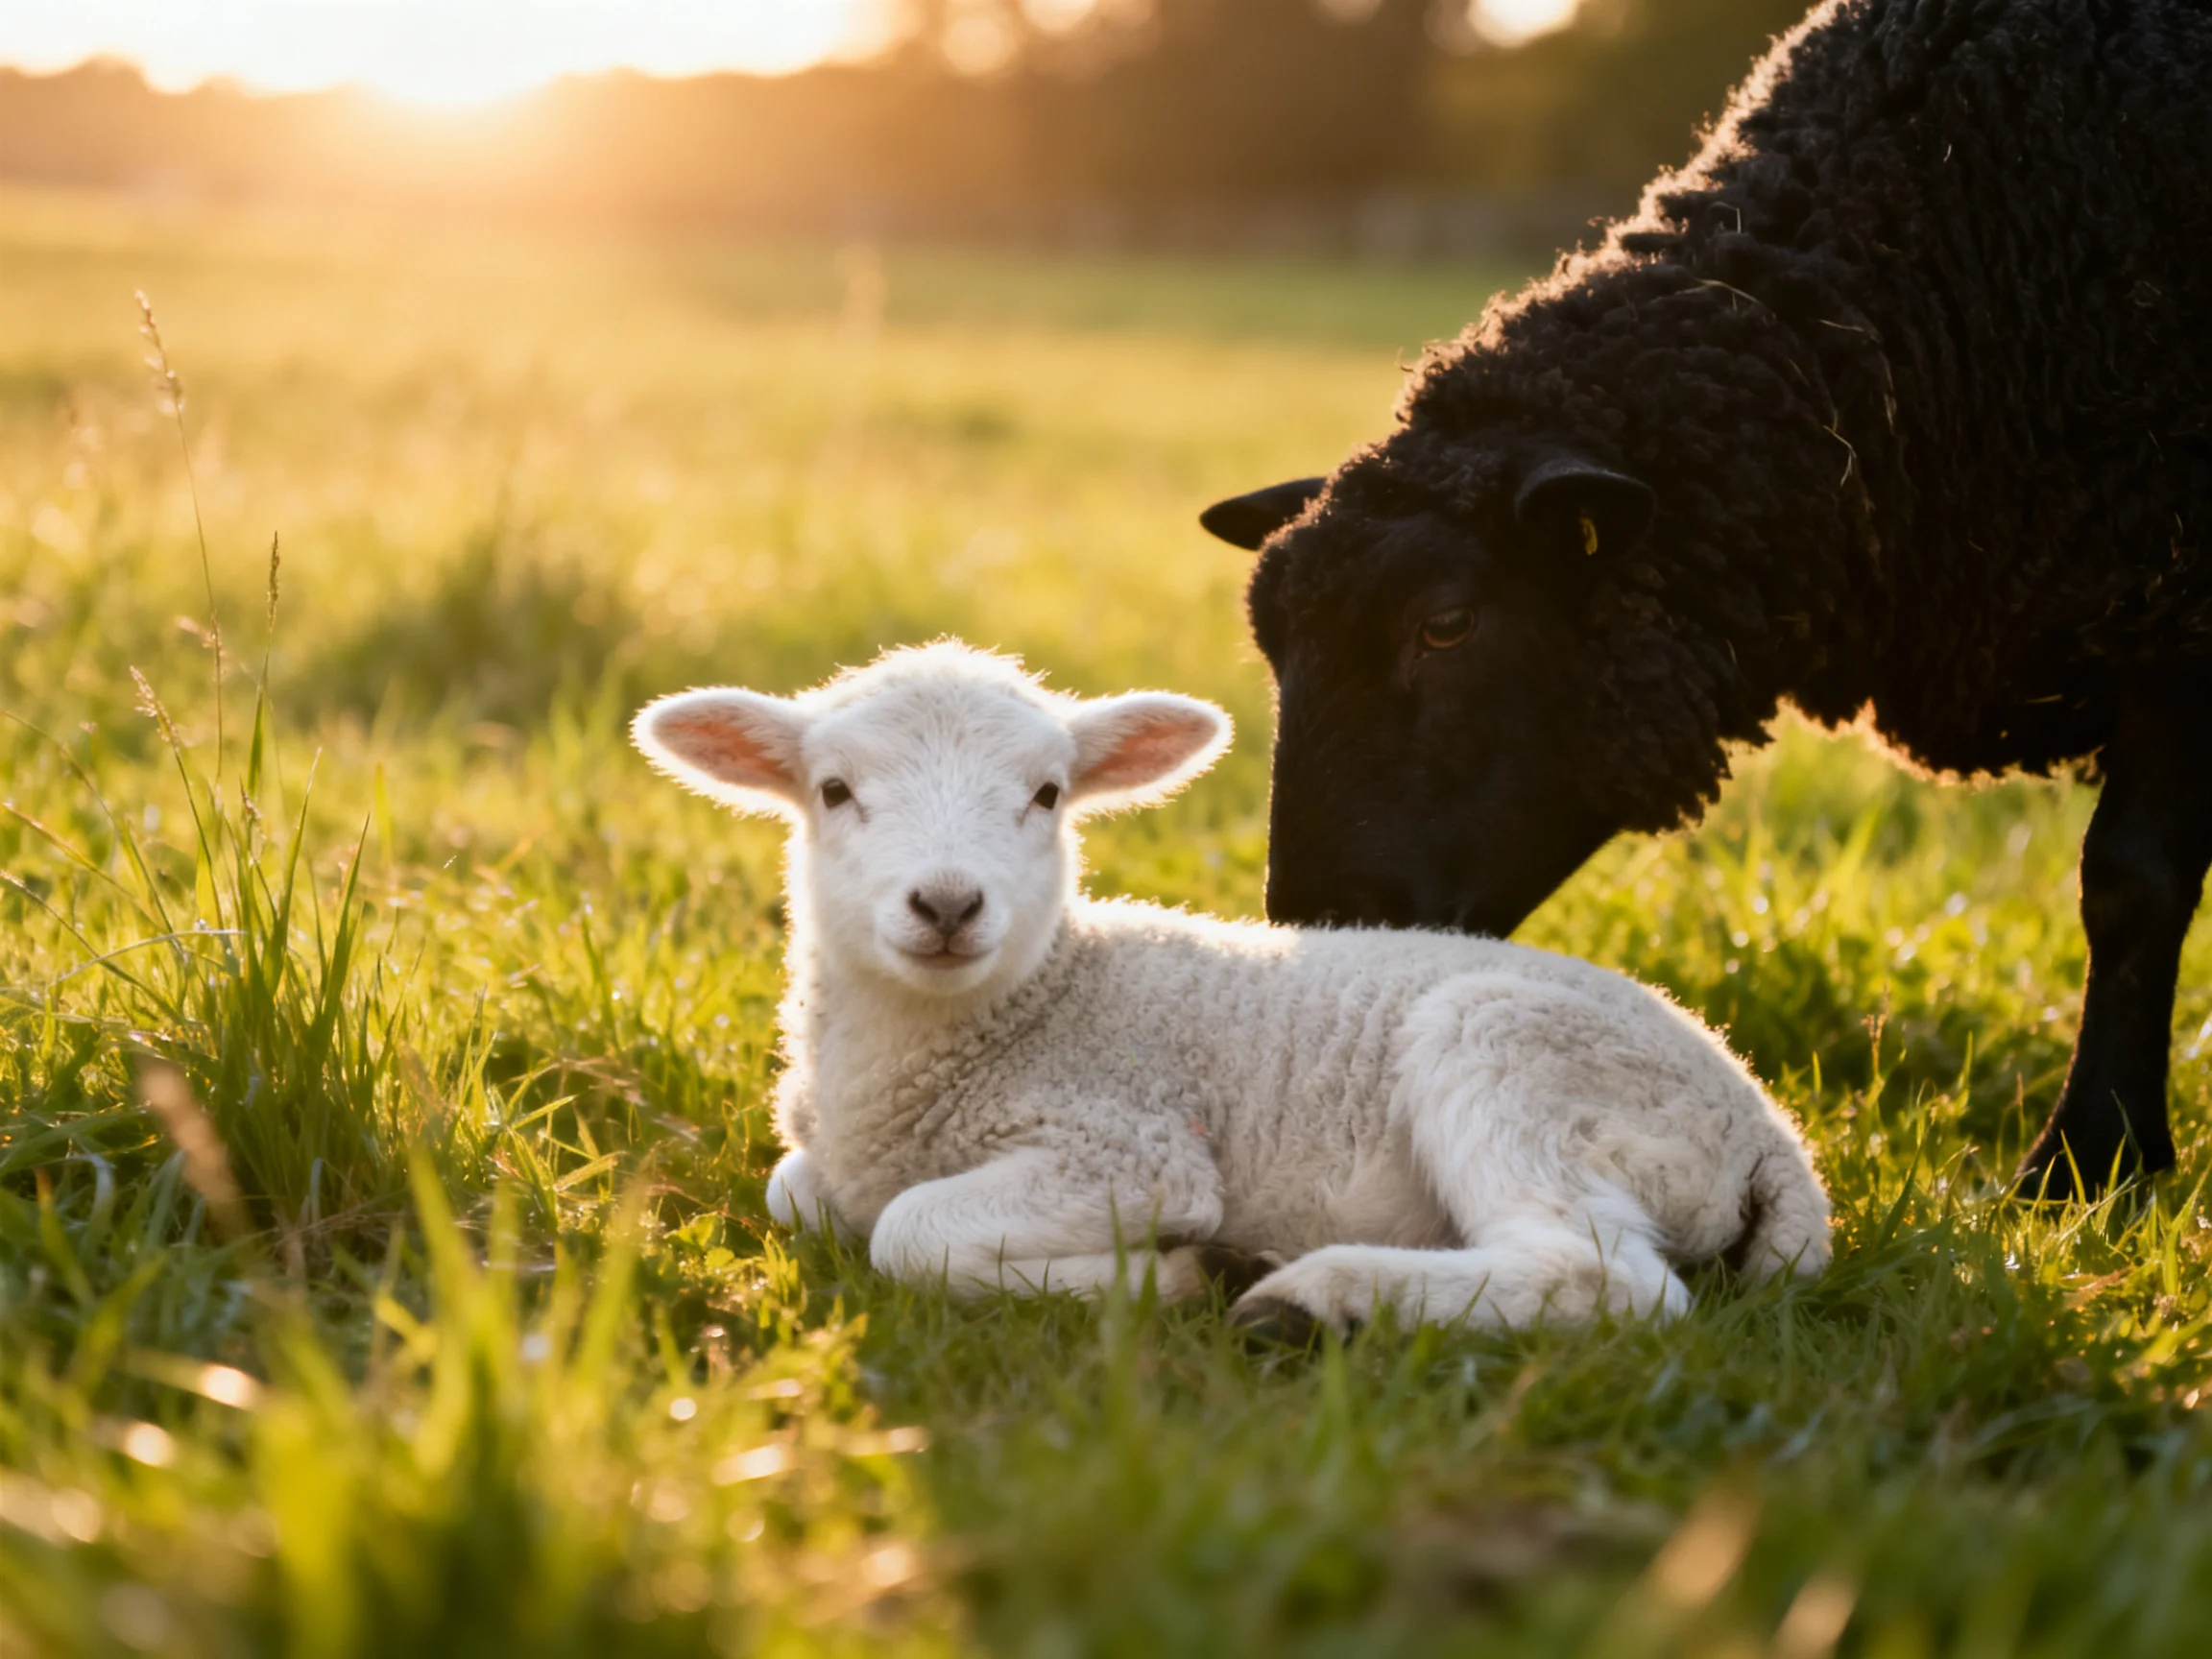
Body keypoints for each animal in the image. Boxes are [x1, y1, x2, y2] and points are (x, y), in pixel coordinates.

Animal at [631, 642, 1829, 1336]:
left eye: (1047, 793)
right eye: (834, 790)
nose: (948, 904)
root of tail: (1769, 1131)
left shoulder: (1132, 1148)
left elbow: (906, 1234)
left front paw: (1174, 1274)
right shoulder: (828, 1161)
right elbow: (795, 1193)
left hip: (1524, 1059)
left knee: (1611, 1279)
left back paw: (1312, 1297)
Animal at [1198, 0, 2212, 1201]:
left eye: (1446, 625)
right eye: (1271, 645)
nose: (1324, 936)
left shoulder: (2178, 613)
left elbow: (2130, 882)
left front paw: (2091, 1164)